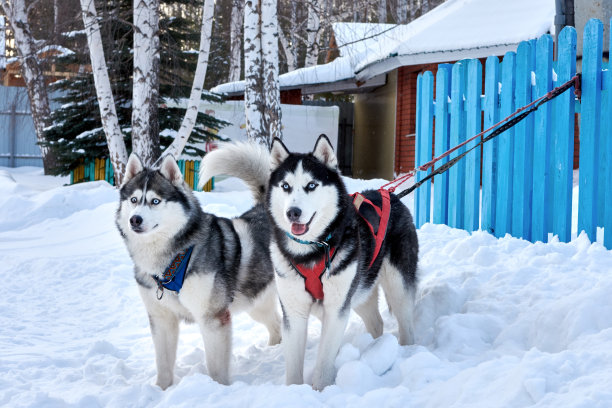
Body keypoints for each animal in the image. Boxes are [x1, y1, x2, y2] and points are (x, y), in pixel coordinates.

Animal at [116, 153, 280, 388]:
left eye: (155, 201)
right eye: (134, 200)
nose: (134, 220)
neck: (170, 261)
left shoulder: (213, 318)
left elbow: (216, 367)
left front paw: (218, 389)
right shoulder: (161, 319)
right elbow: (163, 364)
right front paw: (161, 389)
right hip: (256, 303)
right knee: (276, 325)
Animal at [200, 138, 416, 392]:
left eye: (311, 185)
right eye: (285, 186)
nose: (293, 212)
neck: (310, 253)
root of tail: (389, 195)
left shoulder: (336, 310)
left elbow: (324, 363)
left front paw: (320, 391)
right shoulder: (294, 313)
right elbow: (294, 364)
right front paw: (295, 390)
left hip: (397, 287)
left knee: (406, 322)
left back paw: (407, 351)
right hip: (359, 292)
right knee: (377, 323)